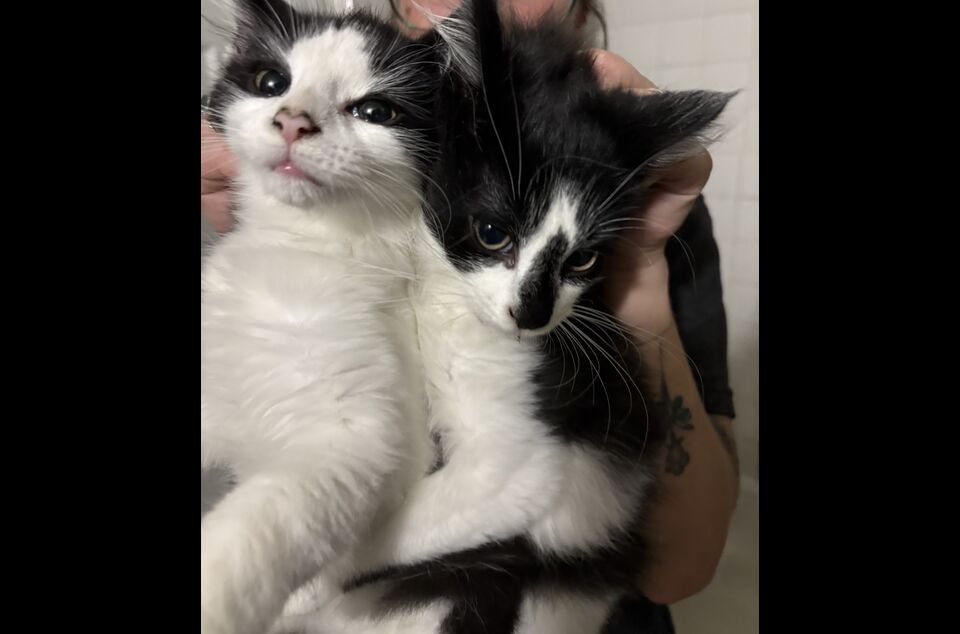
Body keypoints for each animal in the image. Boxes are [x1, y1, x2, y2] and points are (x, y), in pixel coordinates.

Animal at [200, 1, 446, 632]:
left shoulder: (357, 437)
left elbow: (267, 523)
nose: (292, 121)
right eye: (271, 82)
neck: (300, 243)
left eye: (375, 110)